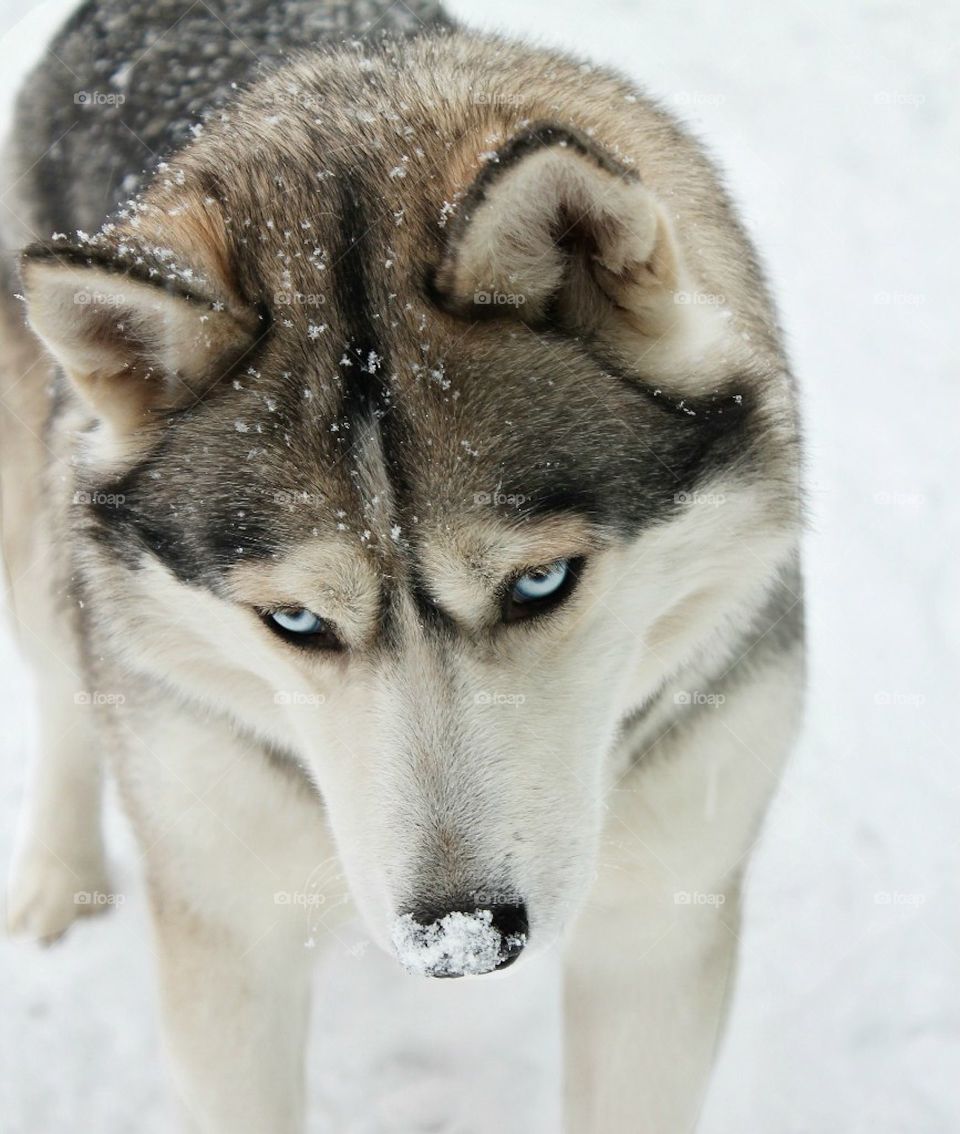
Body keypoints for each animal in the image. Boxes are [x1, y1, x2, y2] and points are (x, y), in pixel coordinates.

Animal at [1, 0, 802, 1129]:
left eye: (540, 583)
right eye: (295, 623)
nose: (461, 938)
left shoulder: (660, 924)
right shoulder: (227, 929)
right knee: (61, 682)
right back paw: (55, 874)